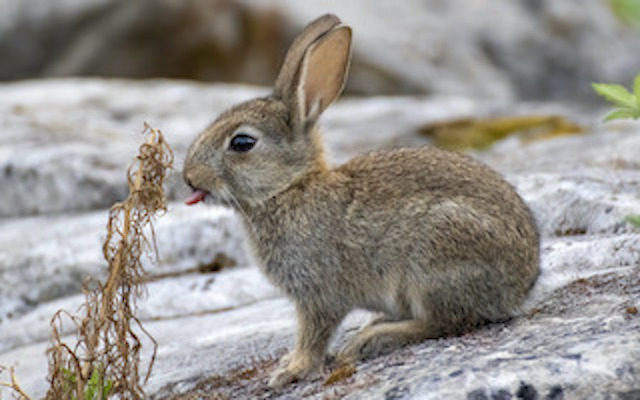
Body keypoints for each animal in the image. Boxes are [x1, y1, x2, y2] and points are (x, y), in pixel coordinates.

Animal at [181, 14, 540, 390]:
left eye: (242, 143)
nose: (188, 176)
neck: (289, 188)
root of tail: (520, 287)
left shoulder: (319, 294)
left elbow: (313, 335)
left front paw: (290, 371)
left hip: (433, 259)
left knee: (446, 321)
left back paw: (371, 339)